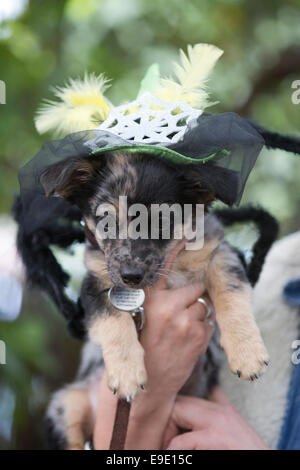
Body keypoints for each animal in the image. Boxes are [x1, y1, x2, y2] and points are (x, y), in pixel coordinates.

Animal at [41, 152, 268, 450]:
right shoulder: (96, 283)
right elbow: (113, 321)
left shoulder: (220, 253)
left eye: (162, 221)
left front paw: (248, 353)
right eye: (106, 221)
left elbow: (232, 293)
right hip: (65, 406)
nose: (131, 276)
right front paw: (126, 372)